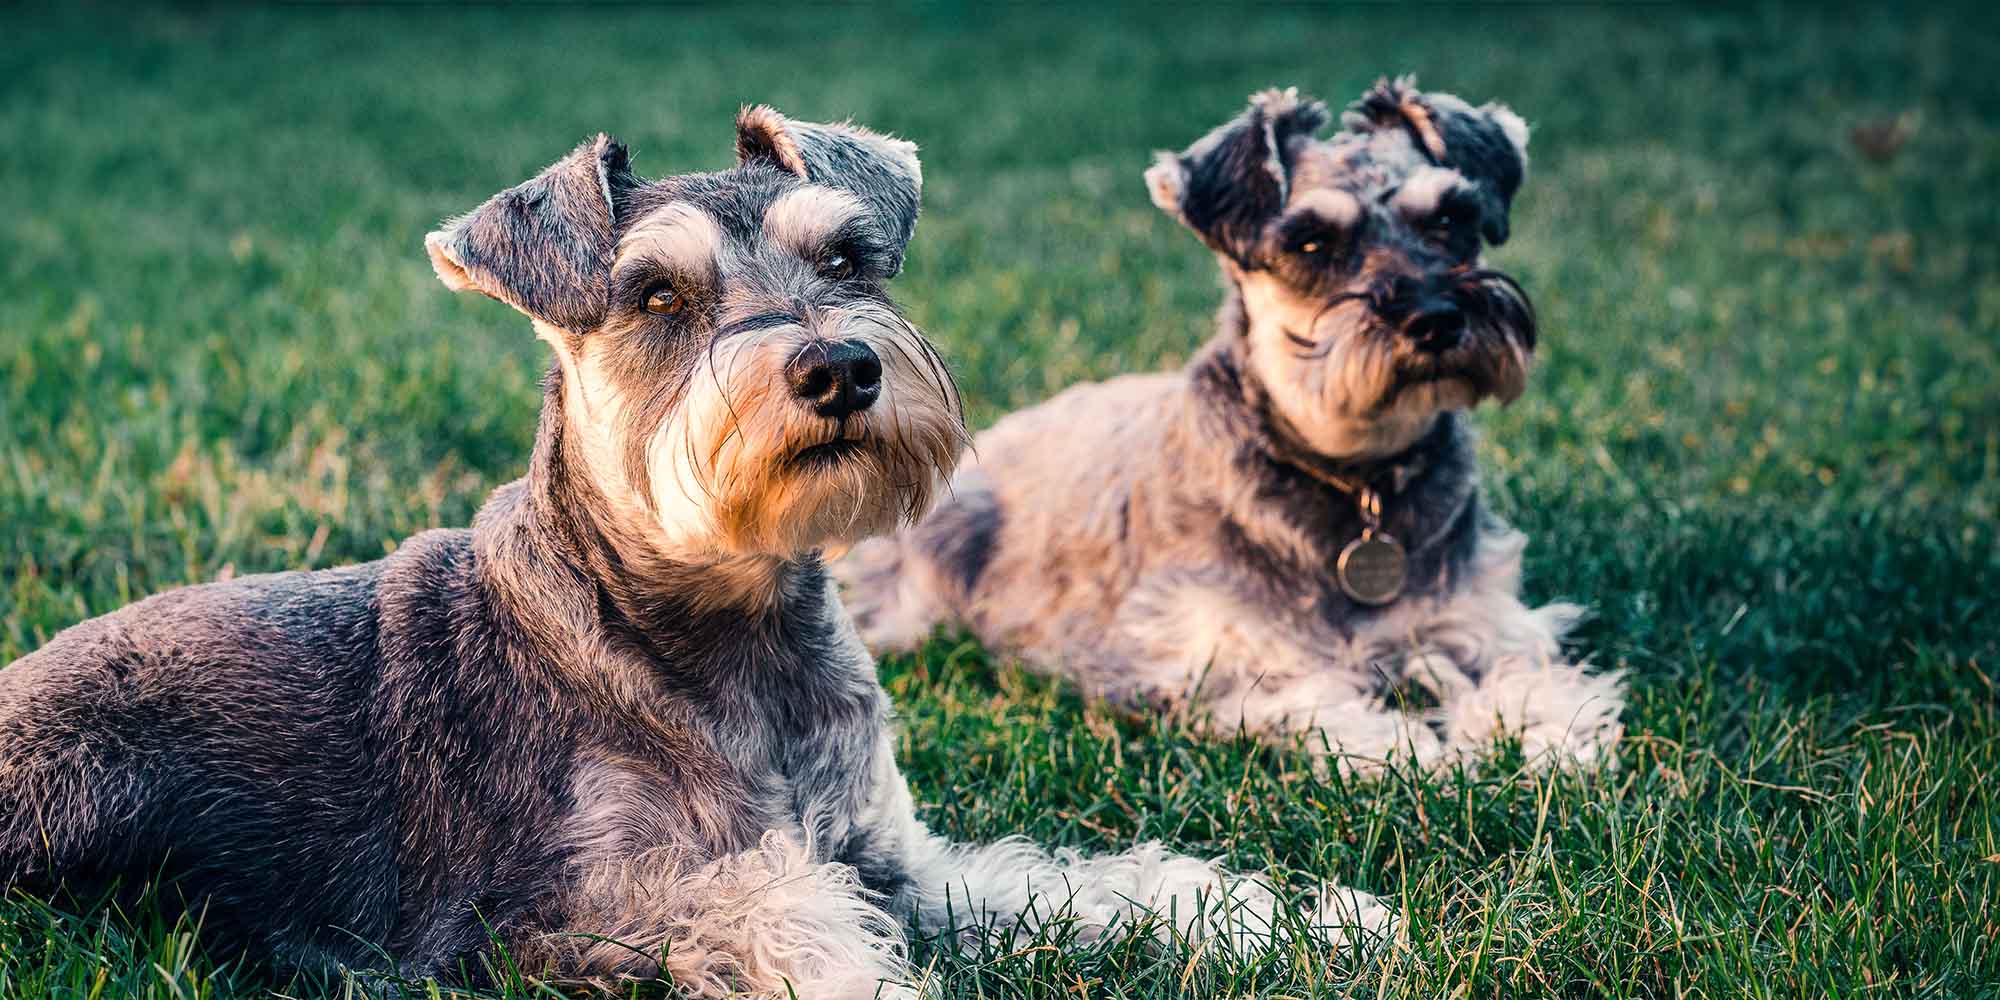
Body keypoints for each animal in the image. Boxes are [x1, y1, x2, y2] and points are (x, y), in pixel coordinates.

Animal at [0, 105, 1392, 996]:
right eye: (655, 295)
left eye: (848, 255)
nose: (838, 367)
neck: (728, 632)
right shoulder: (587, 917)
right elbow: (790, 929)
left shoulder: (892, 858)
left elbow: (1087, 886)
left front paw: (1296, 916)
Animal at [840, 82, 1624, 776]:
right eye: (1310, 244)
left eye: (1450, 220)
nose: (1435, 318)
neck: (1358, 479)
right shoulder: (1222, 654)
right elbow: (1322, 700)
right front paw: (1414, 753)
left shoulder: (1486, 617)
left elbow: (1529, 676)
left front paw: (1546, 739)